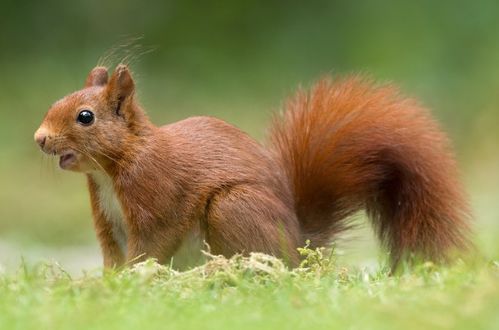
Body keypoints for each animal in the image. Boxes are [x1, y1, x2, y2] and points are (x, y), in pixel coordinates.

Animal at [34, 65, 472, 270]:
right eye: (56, 101)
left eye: (85, 117)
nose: (40, 138)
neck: (114, 167)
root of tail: (298, 241)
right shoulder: (108, 220)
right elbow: (112, 255)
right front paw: (109, 284)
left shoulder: (157, 199)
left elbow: (150, 246)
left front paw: (133, 282)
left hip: (234, 206)